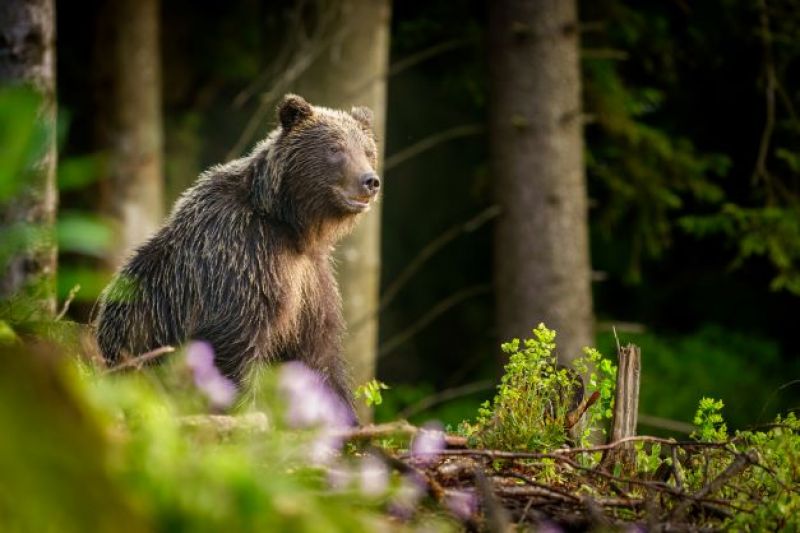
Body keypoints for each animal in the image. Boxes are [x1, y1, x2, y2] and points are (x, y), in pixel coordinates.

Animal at [94, 93, 382, 410]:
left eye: (368, 151)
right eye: (335, 148)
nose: (370, 181)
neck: (288, 223)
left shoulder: (309, 279)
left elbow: (319, 355)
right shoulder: (242, 256)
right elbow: (235, 345)